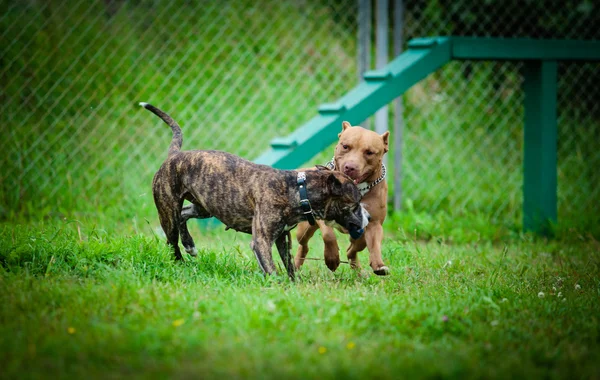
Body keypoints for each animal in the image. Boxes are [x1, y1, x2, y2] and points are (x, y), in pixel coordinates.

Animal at [141, 103, 368, 280]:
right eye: (355, 204)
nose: (368, 216)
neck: (298, 189)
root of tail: (174, 156)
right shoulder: (261, 241)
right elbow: (272, 269)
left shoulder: (282, 238)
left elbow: (289, 267)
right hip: (168, 211)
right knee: (172, 240)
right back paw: (180, 262)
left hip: (205, 206)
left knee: (184, 214)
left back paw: (189, 244)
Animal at [294, 121, 390, 276]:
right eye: (345, 146)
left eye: (369, 152)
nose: (350, 167)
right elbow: (328, 235)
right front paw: (331, 258)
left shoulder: (374, 223)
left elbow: (370, 244)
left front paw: (378, 265)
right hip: (304, 229)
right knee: (303, 244)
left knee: (354, 248)